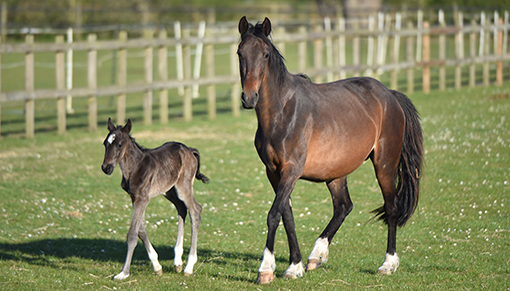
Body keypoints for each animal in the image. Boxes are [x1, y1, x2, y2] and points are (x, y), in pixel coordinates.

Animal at [101, 118, 209, 280]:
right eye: (105, 143)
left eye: (119, 144)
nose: (106, 168)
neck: (134, 167)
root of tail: (189, 150)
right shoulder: (135, 198)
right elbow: (141, 230)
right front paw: (157, 266)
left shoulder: (142, 199)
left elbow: (132, 234)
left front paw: (124, 273)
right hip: (169, 190)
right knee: (181, 209)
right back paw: (177, 262)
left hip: (183, 187)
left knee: (195, 210)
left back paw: (189, 266)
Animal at [237, 16, 424, 286]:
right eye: (240, 53)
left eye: (265, 54)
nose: (249, 98)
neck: (283, 112)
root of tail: (390, 95)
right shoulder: (273, 172)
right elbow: (287, 216)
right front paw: (295, 265)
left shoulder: (291, 171)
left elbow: (274, 215)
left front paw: (266, 269)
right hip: (336, 173)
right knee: (344, 207)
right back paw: (317, 255)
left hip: (384, 165)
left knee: (391, 209)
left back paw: (387, 264)